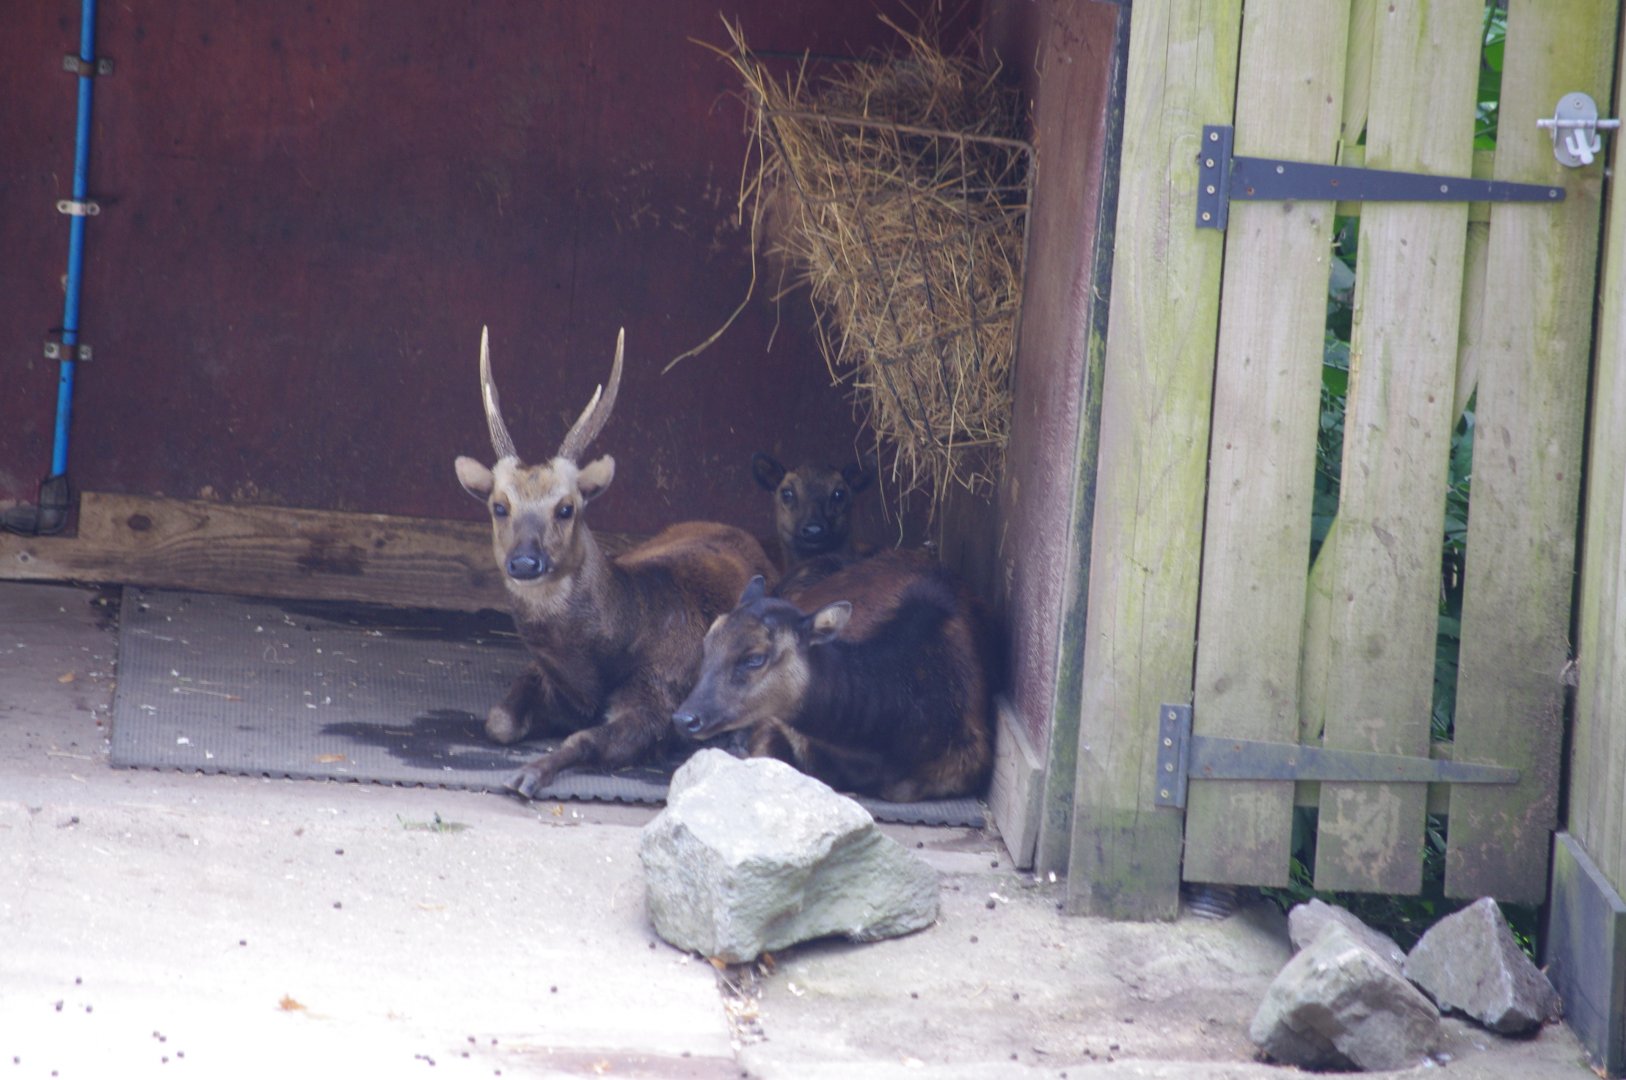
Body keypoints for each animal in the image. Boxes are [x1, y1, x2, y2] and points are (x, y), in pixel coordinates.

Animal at [454, 327, 777, 799]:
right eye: (499, 506)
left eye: (566, 508)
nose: (526, 563)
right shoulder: (541, 673)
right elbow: (499, 721)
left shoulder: (661, 697)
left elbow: (585, 738)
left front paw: (529, 773)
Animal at [671, 549, 996, 802]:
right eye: (707, 644)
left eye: (755, 658)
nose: (685, 718)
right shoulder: (775, 722)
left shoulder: (968, 761)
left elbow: (899, 789)